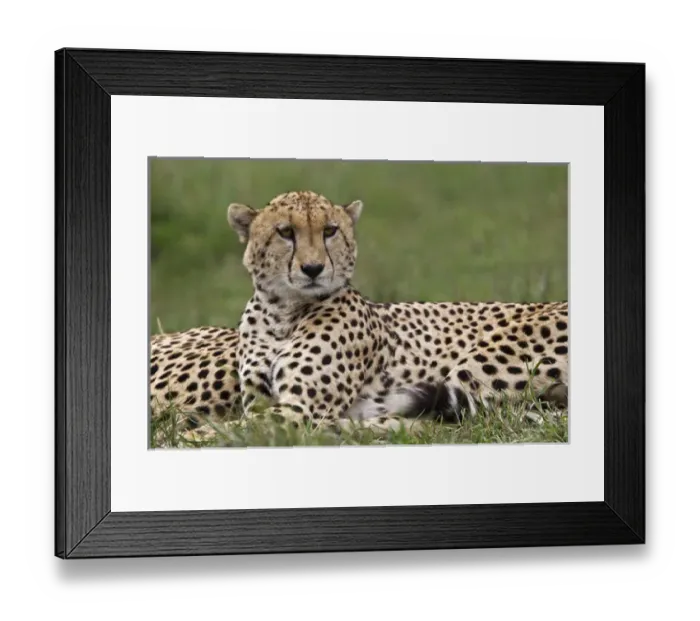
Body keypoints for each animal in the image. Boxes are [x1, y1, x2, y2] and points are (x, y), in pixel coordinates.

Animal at [150, 190, 569, 440]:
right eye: (285, 233)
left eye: (330, 230)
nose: (313, 269)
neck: (282, 312)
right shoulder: (262, 400)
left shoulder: (298, 407)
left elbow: (231, 430)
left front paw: (183, 438)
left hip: (481, 362)